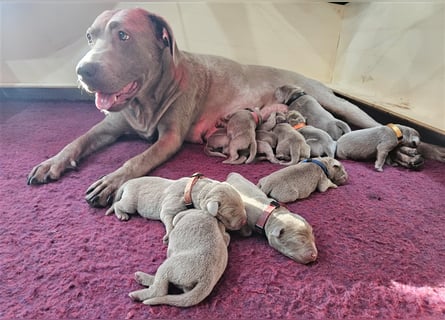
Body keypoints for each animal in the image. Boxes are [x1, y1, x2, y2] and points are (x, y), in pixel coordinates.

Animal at [26, 8, 440, 208]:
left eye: (123, 35)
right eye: (90, 37)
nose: (83, 70)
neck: (147, 98)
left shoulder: (169, 138)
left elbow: (136, 160)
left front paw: (111, 181)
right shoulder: (109, 126)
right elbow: (77, 141)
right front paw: (51, 163)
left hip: (336, 102)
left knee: (377, 125)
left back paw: (419, 151)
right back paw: (406, 156)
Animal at [106, 175, 248, 242]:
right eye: (229, 214)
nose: (244, 221)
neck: (192, 190)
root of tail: (127, 183)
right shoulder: (171, 204)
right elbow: (167, 217)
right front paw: (169, 234)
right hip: (131, 201)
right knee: (118, 204)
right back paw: (121, 214)